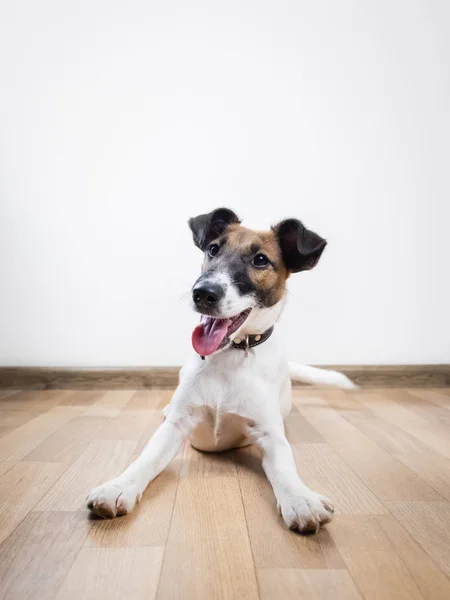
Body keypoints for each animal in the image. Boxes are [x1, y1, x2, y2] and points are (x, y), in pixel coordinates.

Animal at [87, 209, 356, 532]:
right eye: (213, 249)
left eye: (261, 260)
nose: (203, 293)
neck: (229, 355)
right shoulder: (177, 425)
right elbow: (146, 458)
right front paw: (118, 487)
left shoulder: (270, 435)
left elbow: (285, 468)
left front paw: (301, 499)